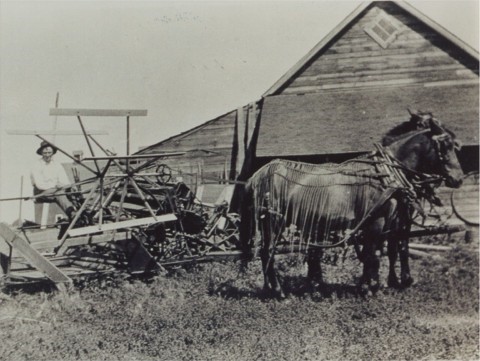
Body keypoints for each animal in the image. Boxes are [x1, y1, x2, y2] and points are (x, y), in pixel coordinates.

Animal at [240, 110, 464, 298]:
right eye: (445, 146)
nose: (458, 179)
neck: (386, 175)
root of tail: (257, 175)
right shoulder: (377, 221)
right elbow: (373, 253)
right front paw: (368, 287)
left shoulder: (389, 222)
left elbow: (383, 251)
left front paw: (379, 284)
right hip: (272, 220)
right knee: (268, 251)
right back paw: (278, 291)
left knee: (266, 252)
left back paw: (270, 288)